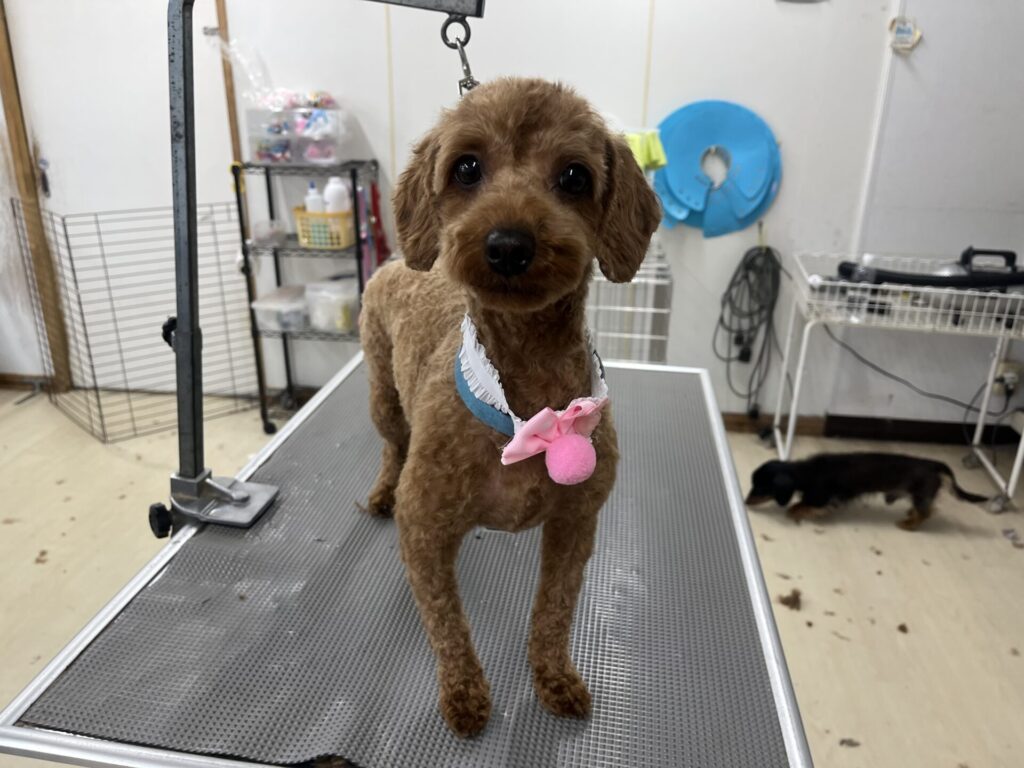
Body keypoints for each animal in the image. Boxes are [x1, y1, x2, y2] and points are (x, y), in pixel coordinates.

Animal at [359, 78, 660, 736]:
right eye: (467, 167)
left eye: (574, 176)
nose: (508, 245)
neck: (527, 389)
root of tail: (396, 261)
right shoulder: (423, 528)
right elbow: (446, 622)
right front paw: (465, 692)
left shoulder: (576, 523)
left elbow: (553, 612)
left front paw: (554, 678)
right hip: (381, 391)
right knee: (391, 443)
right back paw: (381, 489)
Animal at [745, 452, 989, 530]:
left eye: (760, 487)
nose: (745, 502)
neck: (805, 472)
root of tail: (934, 464)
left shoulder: (820, 498)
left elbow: (800, 505)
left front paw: (794, 513)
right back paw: (910, 515)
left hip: (921, 494)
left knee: (926, 512)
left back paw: (909, 524)